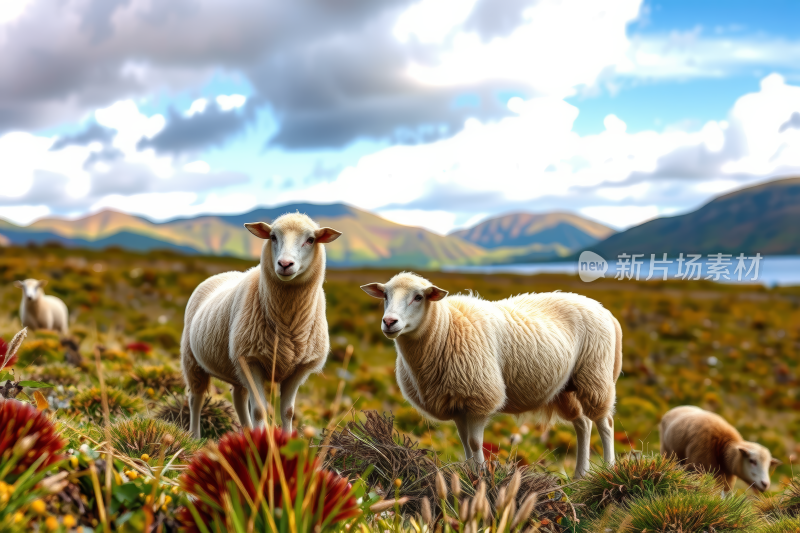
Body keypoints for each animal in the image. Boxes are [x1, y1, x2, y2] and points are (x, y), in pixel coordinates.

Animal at [180, 211, 342, 436]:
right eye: (273, 237)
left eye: (310, 240)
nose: (285, 264)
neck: (288, 322)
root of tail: (224, 274)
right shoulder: (251, 360)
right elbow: (259, 410)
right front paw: (261, 440)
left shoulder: (298, 369)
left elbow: (288, 411)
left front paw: (284, 439)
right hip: (193, 360)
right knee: (196, 398)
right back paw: (195, 435)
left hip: (236, 366)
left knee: (238, 399)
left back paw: (247, 433)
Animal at [362, 272, 624, 476]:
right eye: (385, 296)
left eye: (418, 297)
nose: (389, 322)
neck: (445, 329)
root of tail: (604, 310)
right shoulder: (456, 403)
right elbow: (465, 444)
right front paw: (470, 475)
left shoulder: (479, 396)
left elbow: (475, 442)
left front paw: (481, 477)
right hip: (566, 388)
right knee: (583, 424)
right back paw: (580, 475)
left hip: (595, 377)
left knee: (605, 423)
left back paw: (608, 469)